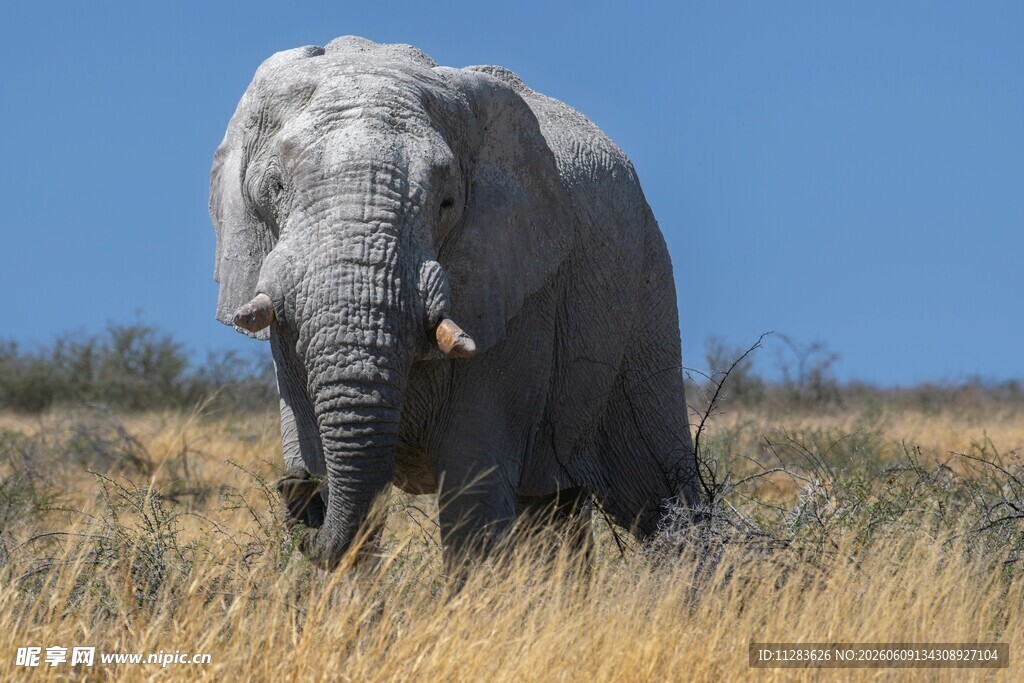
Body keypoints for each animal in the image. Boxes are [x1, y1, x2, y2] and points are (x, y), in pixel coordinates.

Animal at [210, 36, 700, 571]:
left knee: (662, 497)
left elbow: (472, 490)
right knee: (555, 510)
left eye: (446, 203)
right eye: (275, 187)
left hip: (646, 290)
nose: (294, 489)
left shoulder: (513, 293)